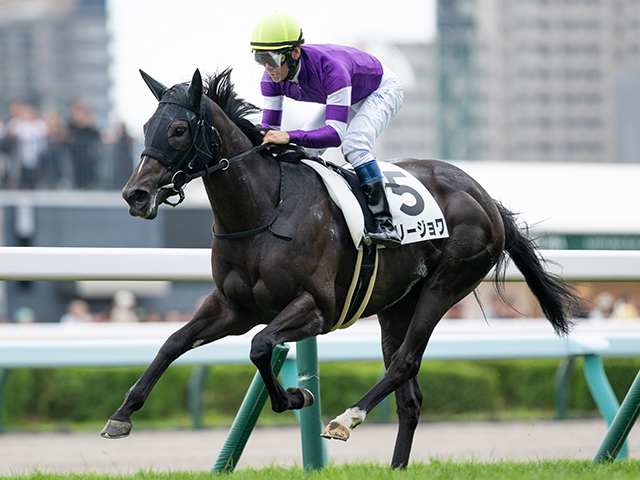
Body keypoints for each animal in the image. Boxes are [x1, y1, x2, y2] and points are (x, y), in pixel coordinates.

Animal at [101, 68, 582, 469]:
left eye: (179, 129)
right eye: (145, 127)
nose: (135, 195)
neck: (263, 210)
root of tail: (484, 196)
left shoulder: (316, 308)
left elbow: (260, 346)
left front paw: (296, 396)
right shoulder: (232, 308)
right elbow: (174, 342)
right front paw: (121, 415)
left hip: (447, 283)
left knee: (405, 363)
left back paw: (345, 419)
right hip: (396, 305)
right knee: (410, 396)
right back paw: (396, 467)